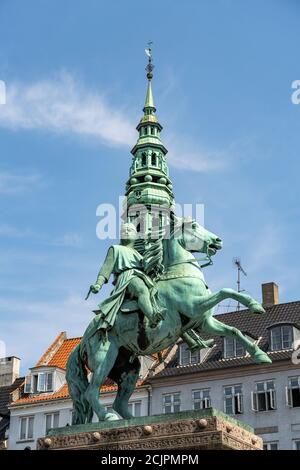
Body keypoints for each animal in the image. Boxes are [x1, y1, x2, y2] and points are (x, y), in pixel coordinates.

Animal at [66, 218, 272, 424]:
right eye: (194, 225)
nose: (217, 240)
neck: (180, 273)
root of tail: (82, 342)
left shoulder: (205, 321)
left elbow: (233, 330)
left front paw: (260, 354)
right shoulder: (195, 306)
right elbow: (225, 291)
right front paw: (254, 304)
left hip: (128, 369)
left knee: (118, 402)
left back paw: (135, 419)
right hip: (104, 357)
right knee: (91, 392)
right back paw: (108, 416)